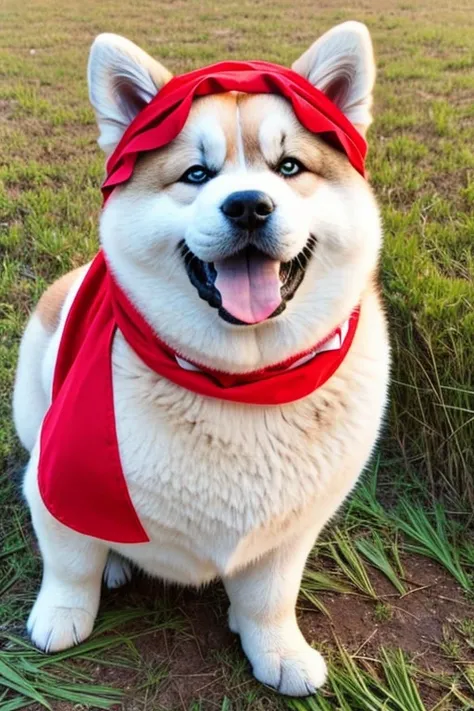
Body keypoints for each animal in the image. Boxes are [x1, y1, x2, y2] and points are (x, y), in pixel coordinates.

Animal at [13, 23, 388, 700]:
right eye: (195, 173)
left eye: (289, 167)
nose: (248, 205)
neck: (239, 382)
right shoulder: (53, 480)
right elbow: (70, 560)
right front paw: (63, 612)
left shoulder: (295, 529)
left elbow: (271, 596)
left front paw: (276, 648)